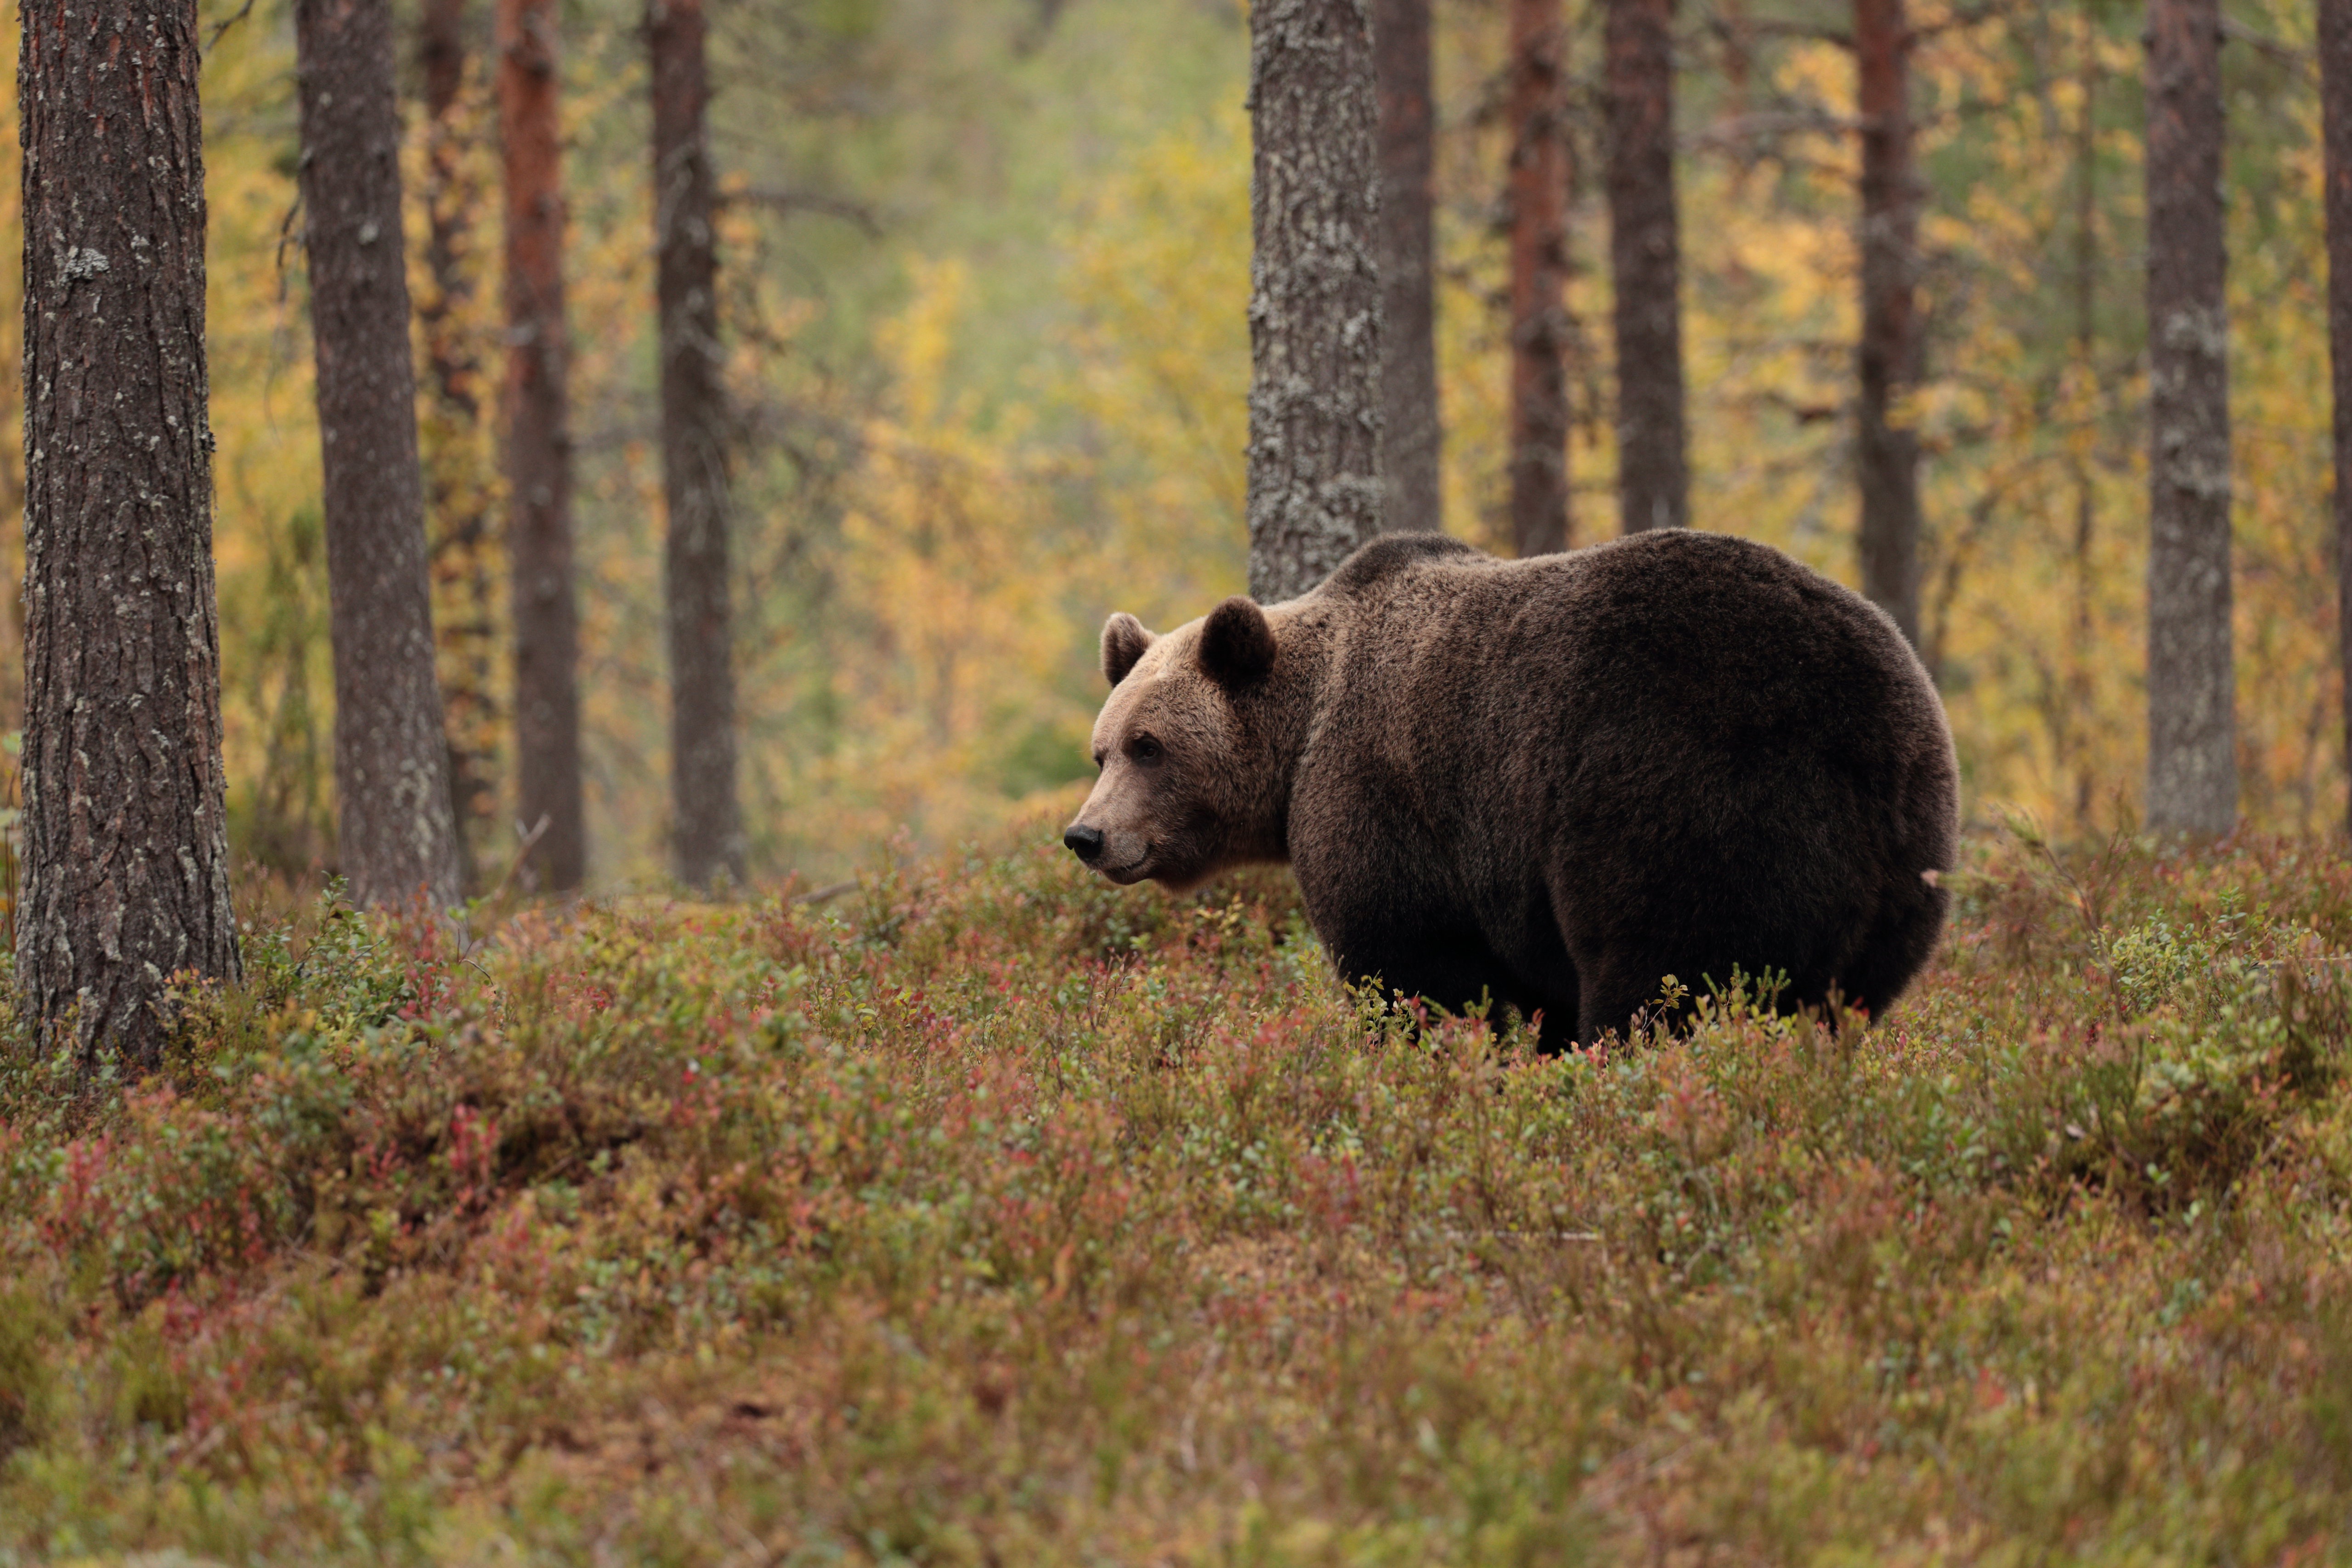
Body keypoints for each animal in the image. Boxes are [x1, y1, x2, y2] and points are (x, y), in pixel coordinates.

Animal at [1058, 531, 1956, 1053]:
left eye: (1150, 746)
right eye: (1101, 750)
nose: (1086, 836)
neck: (1300, 735)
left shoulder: (1381, 806)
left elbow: (1412, 973)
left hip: (1682, 804)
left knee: (1664, 983)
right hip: (1904, 869)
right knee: (1844, 1002)